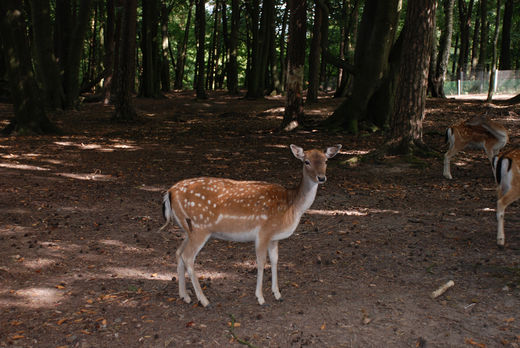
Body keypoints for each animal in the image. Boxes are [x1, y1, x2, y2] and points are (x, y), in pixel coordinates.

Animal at [160, 144, 344, 308]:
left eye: (326, 160)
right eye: (306, 161)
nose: (321, 178)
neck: (291, 207)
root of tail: (170, 192)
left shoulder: (274, 237)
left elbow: (275, 260)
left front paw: (277, 294)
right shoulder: (264, 231)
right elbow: (261, 262)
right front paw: (261, 298)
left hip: (187, 229)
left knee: (178, 252)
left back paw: (185, 296)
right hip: (200, 228)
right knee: (188, 256)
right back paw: (204, 301)